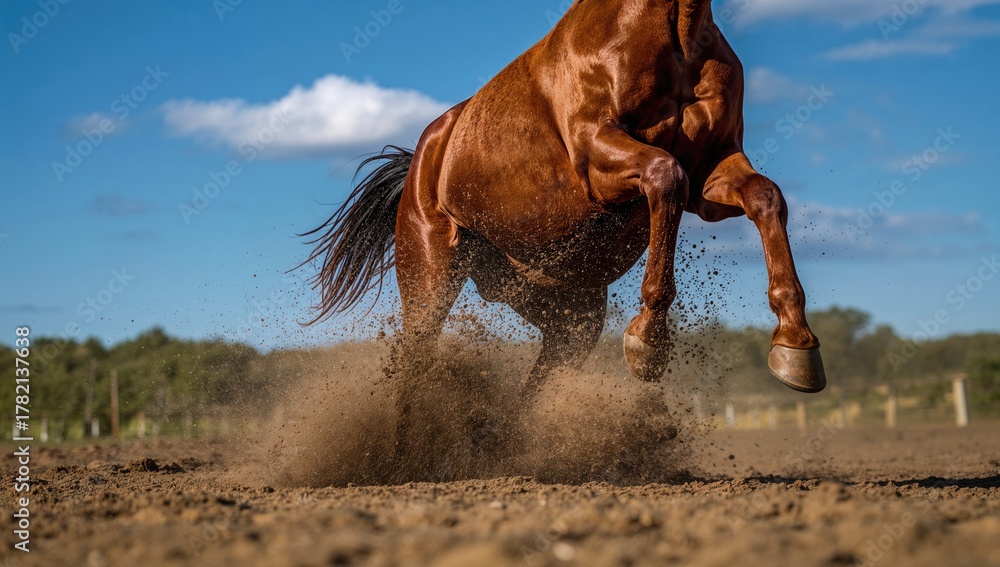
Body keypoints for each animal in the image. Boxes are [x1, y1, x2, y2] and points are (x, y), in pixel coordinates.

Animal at [304, 0, 827, 395]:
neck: (674, 32)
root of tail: (419, 163)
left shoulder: (713, 172)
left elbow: (765, 197)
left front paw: (795, 346)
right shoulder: (597, 155)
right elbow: (665, 176)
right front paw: (648, 341)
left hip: (569, 319)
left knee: (530, 394)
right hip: (430, 283)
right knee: (412, 368)